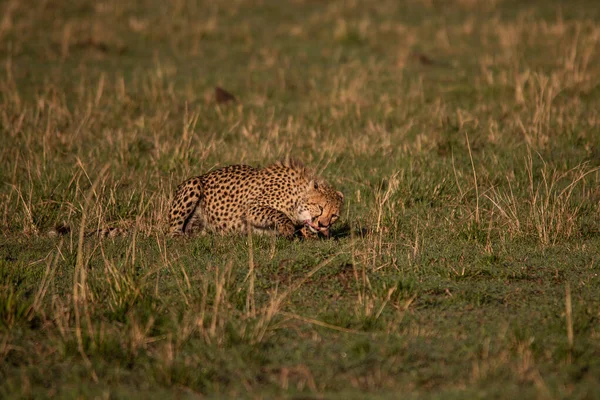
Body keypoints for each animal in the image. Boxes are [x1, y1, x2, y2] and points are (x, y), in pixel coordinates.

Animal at [168, 159, 342, 239]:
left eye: (334, 215)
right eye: (320, 207)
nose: (323, 224)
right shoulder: (250, 209)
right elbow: (276, 213)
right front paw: (288, 227)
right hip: (194, 184)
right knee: (171, 231)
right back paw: (179, 237)